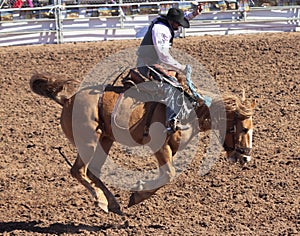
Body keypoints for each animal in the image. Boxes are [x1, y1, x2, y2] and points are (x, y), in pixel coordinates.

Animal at [29, 72, 255, 216]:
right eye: (244, 129)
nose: (246, 157)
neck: (191, 109)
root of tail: (67, 99)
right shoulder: (159, 146)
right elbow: (169, 174)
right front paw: (137, 195)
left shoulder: (170, 149)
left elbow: (165, 175)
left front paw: (137, 192)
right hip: (89, 141)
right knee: (78, 171)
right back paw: (101, 201)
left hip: (105, 139)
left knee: (93, 171)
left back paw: (113, 204)